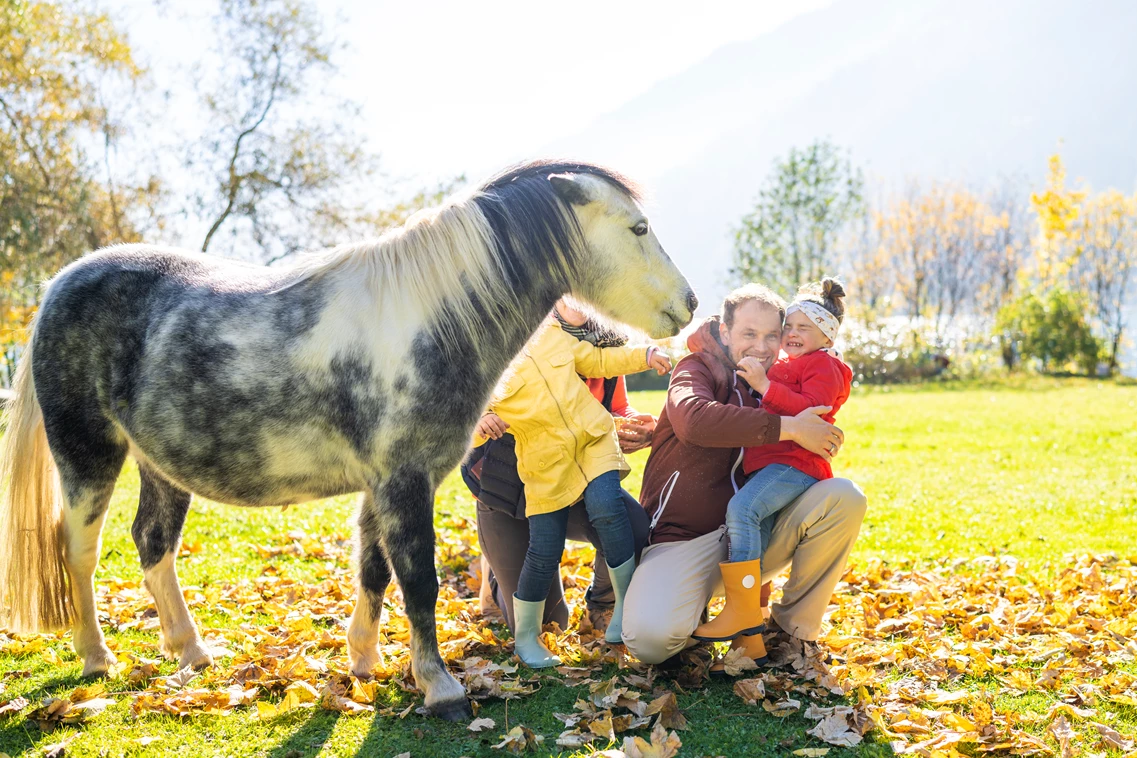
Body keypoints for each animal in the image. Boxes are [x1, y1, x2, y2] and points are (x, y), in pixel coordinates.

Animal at [0, 159, 695, 718]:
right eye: (638, 228)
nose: (688, 304)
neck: (427, 318)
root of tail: (60, 285)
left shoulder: (382, 484)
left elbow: (373, 568)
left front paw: (365, 661)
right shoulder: (405, 481)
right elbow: (418, 580)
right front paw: (440, 687)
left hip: (161, 466)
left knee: (152, 544)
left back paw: (191, 651)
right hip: (87, 456)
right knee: (80, 552)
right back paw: (97, 658)